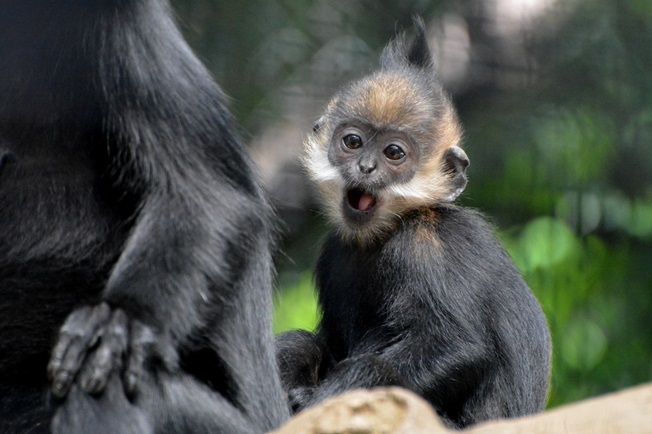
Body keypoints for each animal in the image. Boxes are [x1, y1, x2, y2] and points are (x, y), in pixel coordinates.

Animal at [276, 19, 552, 428]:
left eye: (394, 152)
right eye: (353, 142)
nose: (365, 167)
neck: (384, 232)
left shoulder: (426, 244)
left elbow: (458, 346)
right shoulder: (333, 251)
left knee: (370, 368)